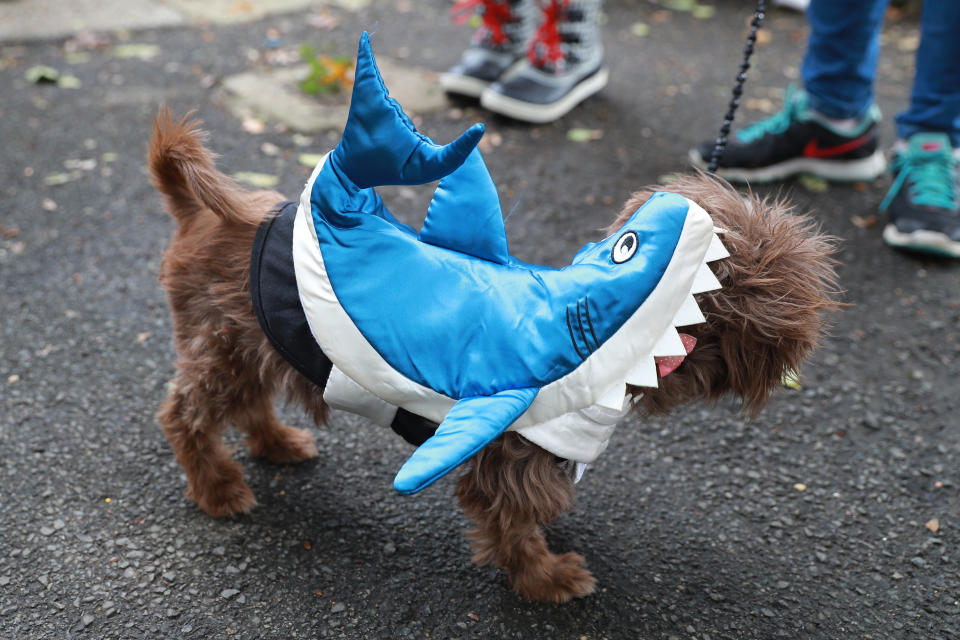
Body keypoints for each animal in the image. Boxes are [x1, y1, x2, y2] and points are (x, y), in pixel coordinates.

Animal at [148, 107, 840, 604]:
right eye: (762, 281)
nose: (803, 330)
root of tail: (203, 214)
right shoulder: (507, 456)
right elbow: (512, 526)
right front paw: (546, 579)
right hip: (225, 346)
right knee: (185, 416)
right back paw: (218, 488)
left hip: (262, 344)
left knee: (248, 403)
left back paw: (275, 443)